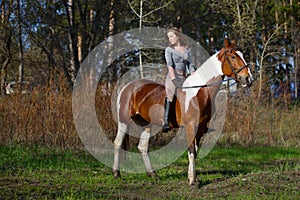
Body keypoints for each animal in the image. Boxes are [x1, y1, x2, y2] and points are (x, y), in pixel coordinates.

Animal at [112, 38, 253, 186]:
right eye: (233, 56)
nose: (248, 79)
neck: (200, 91)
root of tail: (127, 87)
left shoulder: (201, 128)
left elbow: (194, 151)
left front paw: (194, 178)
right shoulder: (191, 126)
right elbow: (191, 151)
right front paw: (192, 181)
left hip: (146, 124)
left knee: (142, 147)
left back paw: (153, 174)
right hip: (124, 121)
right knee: (117, 143)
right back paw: (116, 173)